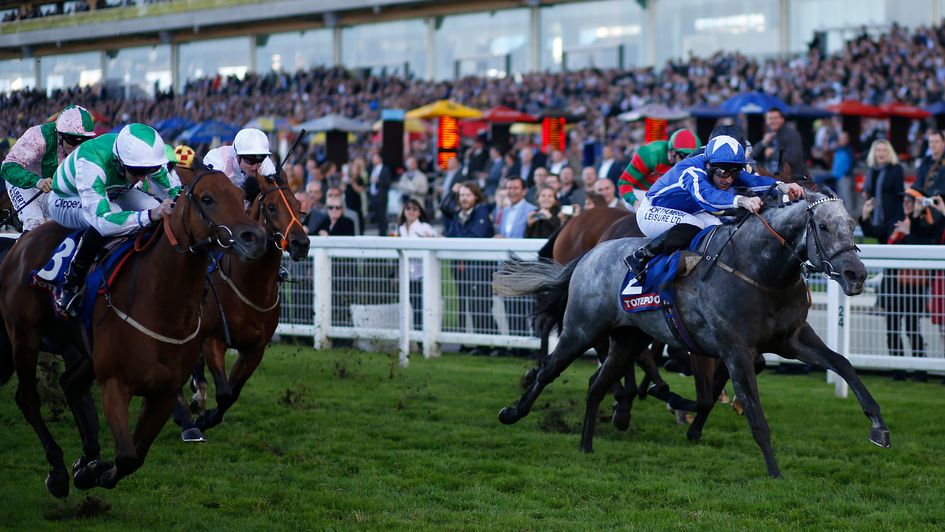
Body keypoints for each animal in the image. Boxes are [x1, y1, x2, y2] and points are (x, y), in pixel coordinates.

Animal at [0, 163, 268, 498]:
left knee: (70, 383)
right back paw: (58, 471)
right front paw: (91, 472)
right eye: (207, 198)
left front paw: (90, 469)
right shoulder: (115, 383)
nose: (255, 237)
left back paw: (87, 456)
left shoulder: (163, 392)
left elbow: (135, 457)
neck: (159, 302)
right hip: (24, 336)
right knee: (27, 397)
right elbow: (127, 455)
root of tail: (21, 242)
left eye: (237, 193)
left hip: (83, 348)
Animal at [173, 170, 310, 436]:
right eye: (271, 207)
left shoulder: (254, 349)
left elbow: (232, 394)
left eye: (299, 205)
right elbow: (225, 392)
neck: (250, 290)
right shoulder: (213, 339)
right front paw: (199, 419)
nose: (301, 243)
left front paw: (206, 416)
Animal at [494, 190, 892, 478]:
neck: (758, 270)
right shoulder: (733, 350)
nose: (856, 274)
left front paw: (879, 428)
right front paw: (775, 472)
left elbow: (843, 365)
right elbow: (751, 412)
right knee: (549, 369)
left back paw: (587, 445)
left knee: (596, 385)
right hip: (581, 328)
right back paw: (513, 412)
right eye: (822, 227)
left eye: (852, 225)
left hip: (628, 339)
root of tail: (590, 253)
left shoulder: (791, 339)